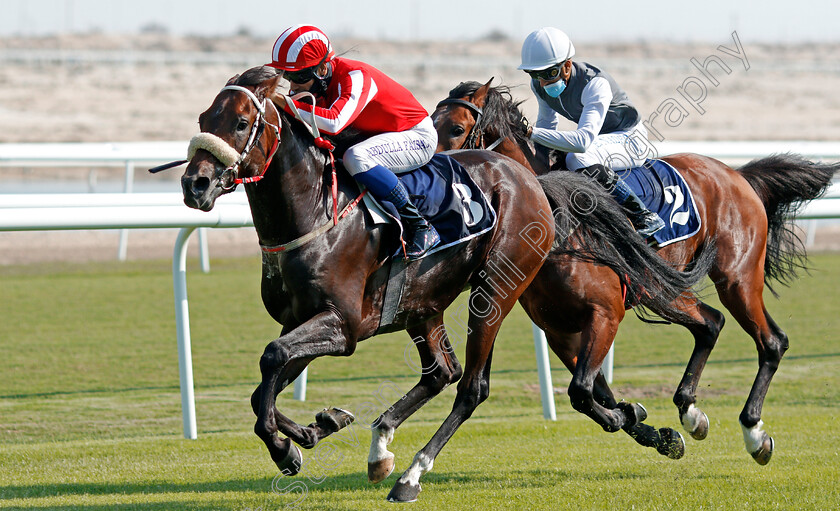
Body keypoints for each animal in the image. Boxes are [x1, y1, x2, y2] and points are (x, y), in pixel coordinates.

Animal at [179, 66, 716, 502]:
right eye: (204, 117)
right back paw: (381, 447)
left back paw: (410, 475)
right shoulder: (304, 320)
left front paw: (286, 447)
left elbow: (272, 359)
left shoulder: (343, 326)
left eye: (241, 122)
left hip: (495, 289)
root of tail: (530, 181)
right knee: (442, 370)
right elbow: (264, 386)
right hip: (424, 303)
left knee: (471, 386)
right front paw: (314, 429)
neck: (316, 216)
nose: (194, 184)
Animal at [434, 78, 840, 466]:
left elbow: (582, 391)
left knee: (771, 341)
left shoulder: (605, 313)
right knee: (710, 324)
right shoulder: (558, 330)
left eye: (456, 128)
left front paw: (633, 418)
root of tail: (736, 174)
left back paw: (753, 432)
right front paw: (650, 428)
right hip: (662, 287)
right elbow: (597, 392)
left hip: (736, 278)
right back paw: (690, 412)